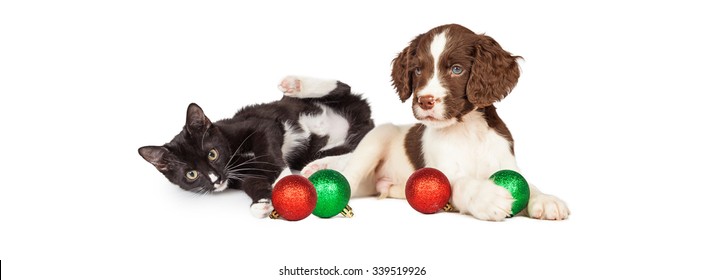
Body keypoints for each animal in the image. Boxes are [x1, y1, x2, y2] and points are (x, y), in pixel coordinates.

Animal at [137, 75, 374, 218]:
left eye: (212, 154)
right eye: (191, 174)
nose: (215, 180)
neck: (234, 157)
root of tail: (363, 121)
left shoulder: (262, 126)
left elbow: (268, 154)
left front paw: (285, 181)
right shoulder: (244, 177)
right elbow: (253, 183)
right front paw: (261, 202)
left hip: (321, 101)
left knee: (341, 87)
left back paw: (295, 85)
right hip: (318, 150)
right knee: (354, 150)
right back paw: (320, 166)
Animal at [306, 24, 568, 221]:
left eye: (457, 69)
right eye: (417, 70)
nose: (425, 101)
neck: (467, 129)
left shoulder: (506, 163)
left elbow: (529, 184)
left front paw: (546, 200)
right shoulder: (442, 172)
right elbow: (460, 183)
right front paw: (487, 197)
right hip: (377, 137)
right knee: (348, 175)